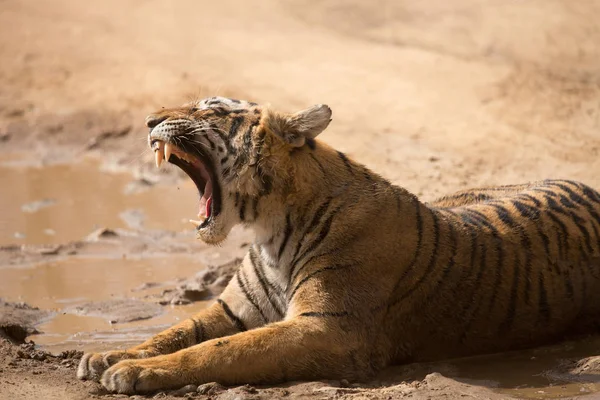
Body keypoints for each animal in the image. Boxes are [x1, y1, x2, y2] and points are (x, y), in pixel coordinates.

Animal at [76, 96, 600, 394]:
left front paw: (134, 373)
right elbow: (176, 333)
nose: (149, 120)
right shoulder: (233, 310)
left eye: (212, 109)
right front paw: (107, 357)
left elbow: (220, 351)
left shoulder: (328, 328)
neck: (268, 226)